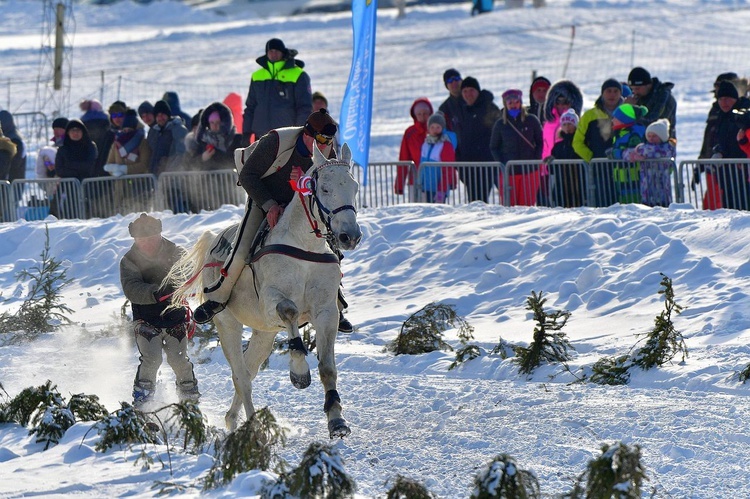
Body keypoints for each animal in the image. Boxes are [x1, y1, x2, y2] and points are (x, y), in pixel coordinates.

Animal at [169, 144, 362, 438]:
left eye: (354, 186)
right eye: (325, 188)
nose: (350, 236)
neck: (304, 247)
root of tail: (214, 240)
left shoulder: (327, 312)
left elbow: (328, 369)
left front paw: (337, 420)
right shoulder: (271, 303)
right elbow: (290, 311)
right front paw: (299, 371)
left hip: (264, 333)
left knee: (248, 372)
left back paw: (232, 420)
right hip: (228, 323)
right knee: (241, 377)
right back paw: (251, 426)